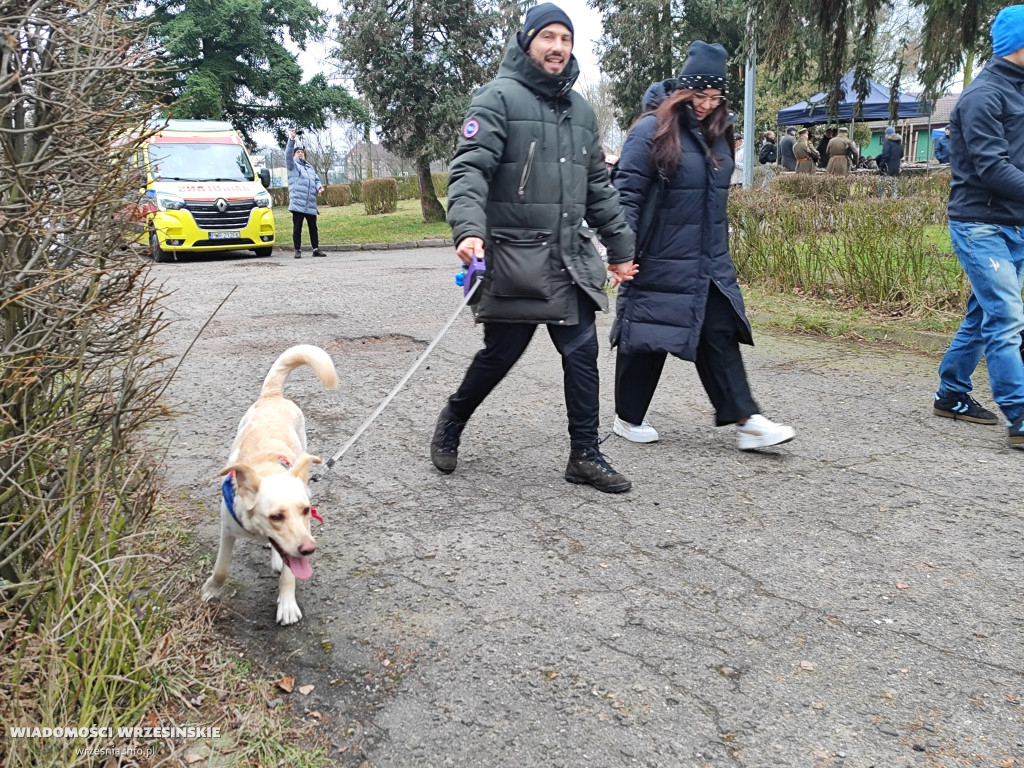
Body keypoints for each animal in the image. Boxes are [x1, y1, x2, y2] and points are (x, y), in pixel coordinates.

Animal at [201, 346, 337, 626]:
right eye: (276, 516)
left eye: (306, 511)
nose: (309, 549)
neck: (268, 466)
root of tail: (273, 395)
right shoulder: (227, 530)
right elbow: (221, 568)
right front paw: (212, 588)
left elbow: (289, 574)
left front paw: (287, 604)